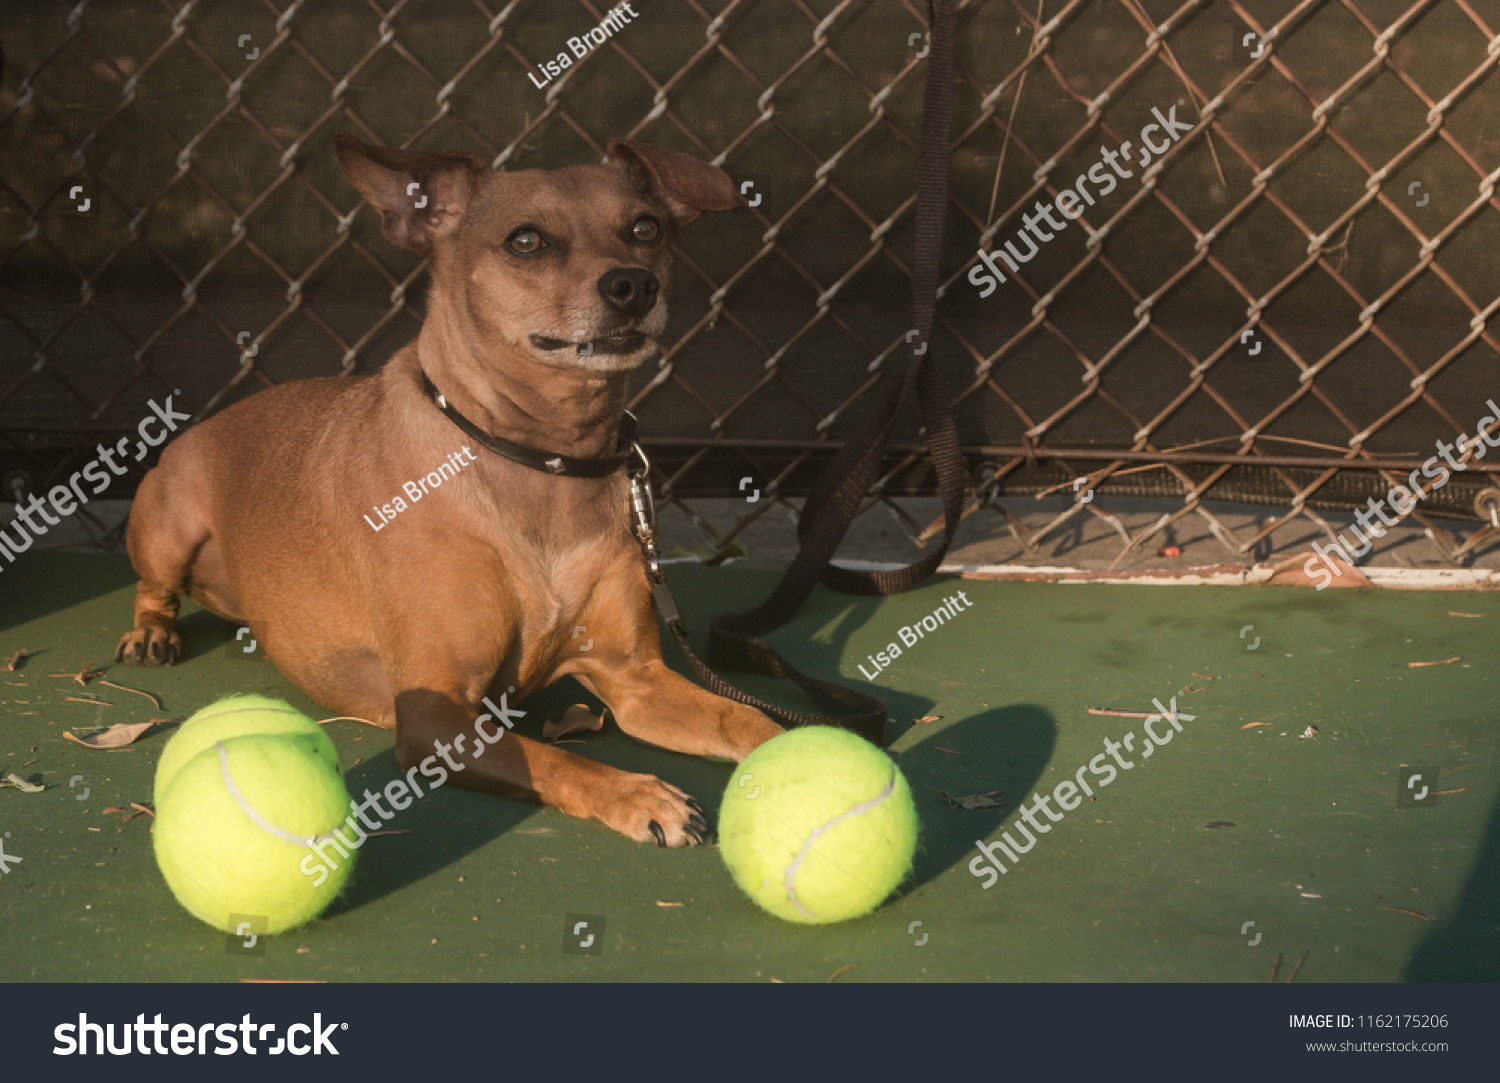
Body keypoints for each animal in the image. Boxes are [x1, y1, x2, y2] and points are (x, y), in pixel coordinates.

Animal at [120, 135, 786, 846]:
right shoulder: (438, 716)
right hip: (168, 527)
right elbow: (558, 759)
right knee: (152, 588)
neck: (543, 460)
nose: (633, 284)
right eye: (526, 241)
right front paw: (638, 793)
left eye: (646, 228)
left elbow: (746, 720)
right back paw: (151, 635)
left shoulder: (636, 680)